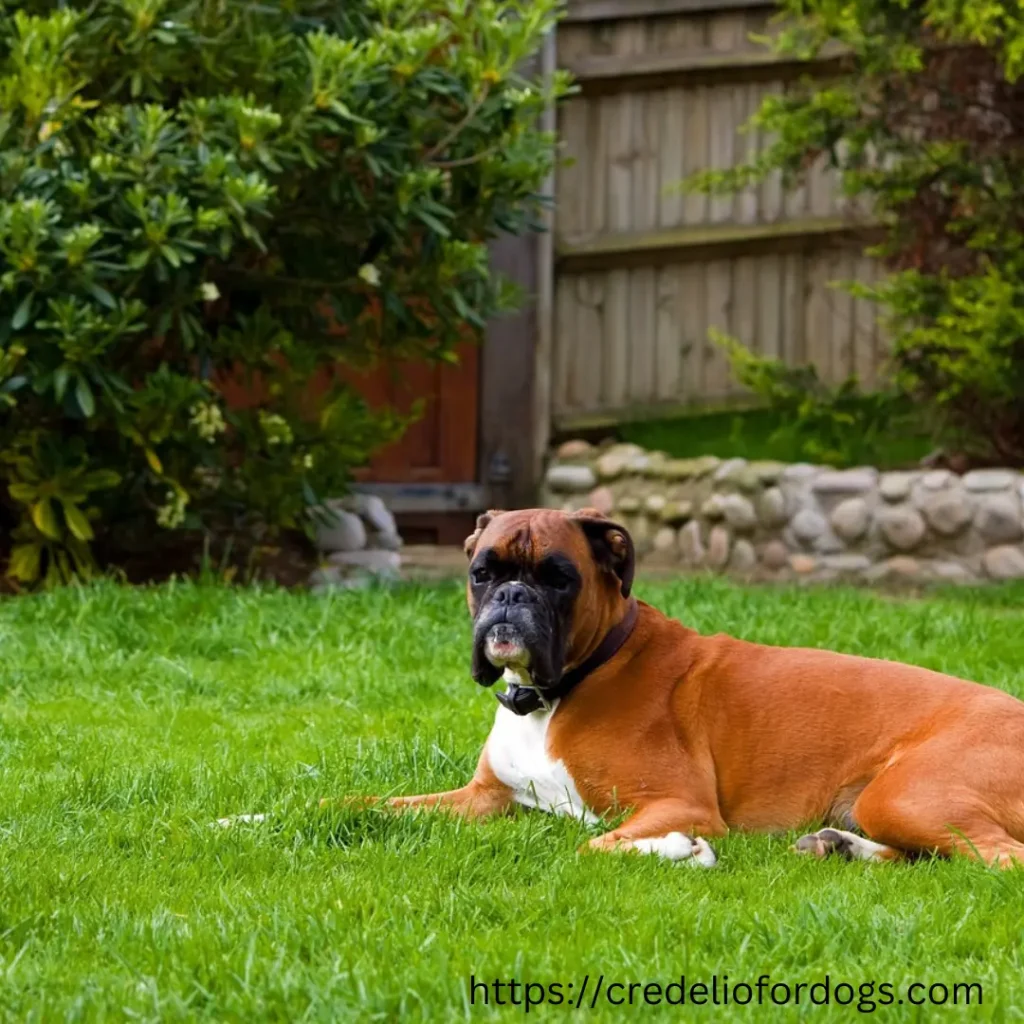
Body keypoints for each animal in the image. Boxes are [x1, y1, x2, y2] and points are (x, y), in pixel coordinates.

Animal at [350, 507, 1024, 868]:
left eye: (559, 578)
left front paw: (680, 850)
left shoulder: (678, 804)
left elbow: (593, 846)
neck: (559, 691)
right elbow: (378, 804)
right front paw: (336, 805)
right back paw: (837, 846)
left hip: (904, 795)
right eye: (482, 573)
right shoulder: (484, 799)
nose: (512, 596)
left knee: (996, 859)